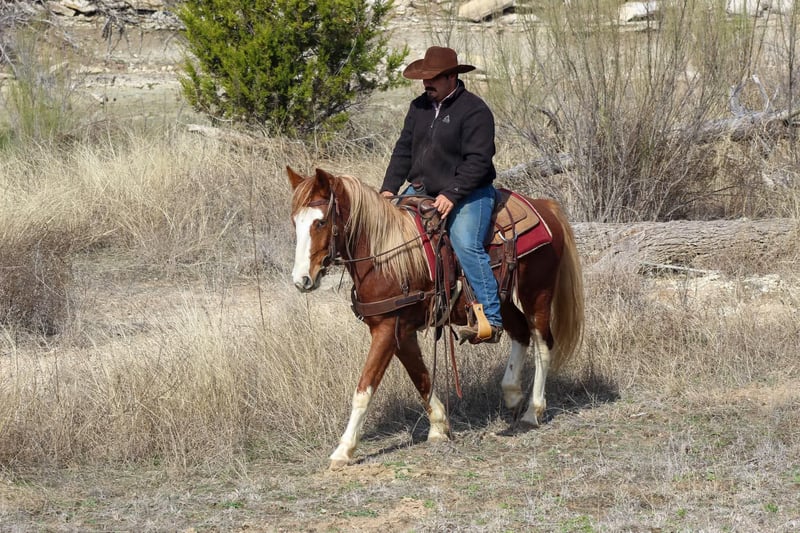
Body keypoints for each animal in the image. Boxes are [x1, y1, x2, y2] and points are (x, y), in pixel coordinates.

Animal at [287, 166, 584, 469]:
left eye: (321, 222)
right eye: (295, 221)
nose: (302, 280)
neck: (386, 259)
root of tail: (544, 206)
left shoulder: (387, 330)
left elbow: (364, 388)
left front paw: (344, 449)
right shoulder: (400, 332)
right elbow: (420, 377)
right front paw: (439, 427)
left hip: (537, 292)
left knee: (543, 343)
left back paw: (533, 412)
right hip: (501, 299)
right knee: (521, 333)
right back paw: (512, 394)